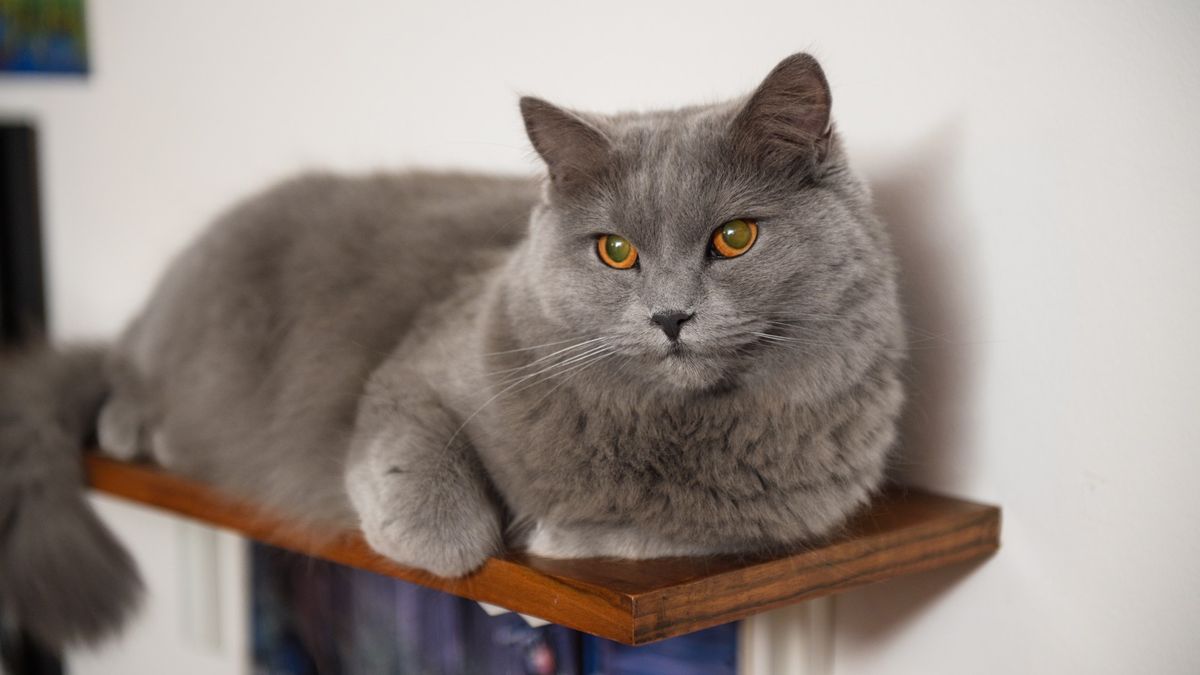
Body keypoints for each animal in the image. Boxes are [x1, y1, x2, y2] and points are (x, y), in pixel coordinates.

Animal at [0, 49, 902, 643]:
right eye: (615, 251)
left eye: (735, 237)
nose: (671, 316)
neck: (662, 427)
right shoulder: (416, 373)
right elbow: (431, 495)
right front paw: (472, 552)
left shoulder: (794, 510)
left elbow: (653, 528)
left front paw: (557, 534)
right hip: (197, 325)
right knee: (120, 367)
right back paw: (143, 427)